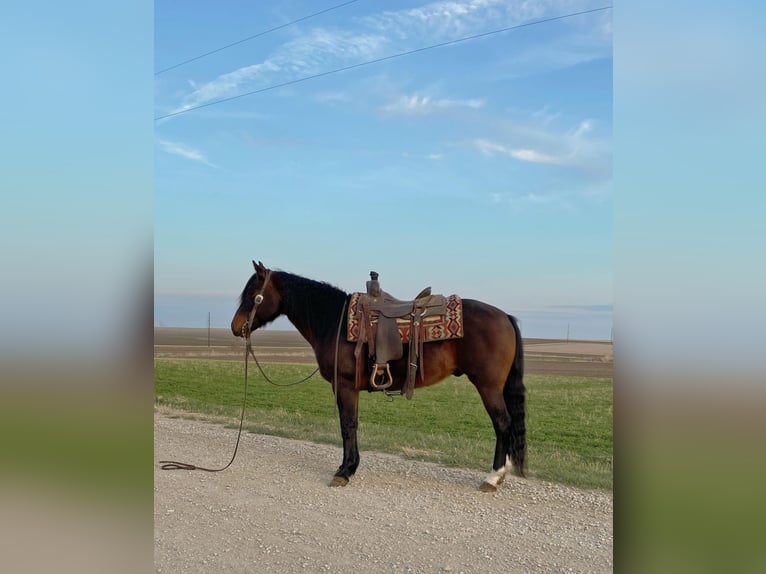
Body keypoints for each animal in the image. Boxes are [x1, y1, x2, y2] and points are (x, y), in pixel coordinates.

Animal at [230, 264, 528, 492]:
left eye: (254, 294)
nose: (235, 327)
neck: (334, 321)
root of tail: (505, 316)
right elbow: (352, 424)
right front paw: (350, 467)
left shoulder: (345, 386)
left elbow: (347, 425)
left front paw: (344, 471)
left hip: (488, 386)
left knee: (502, 423)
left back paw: (493, 477)